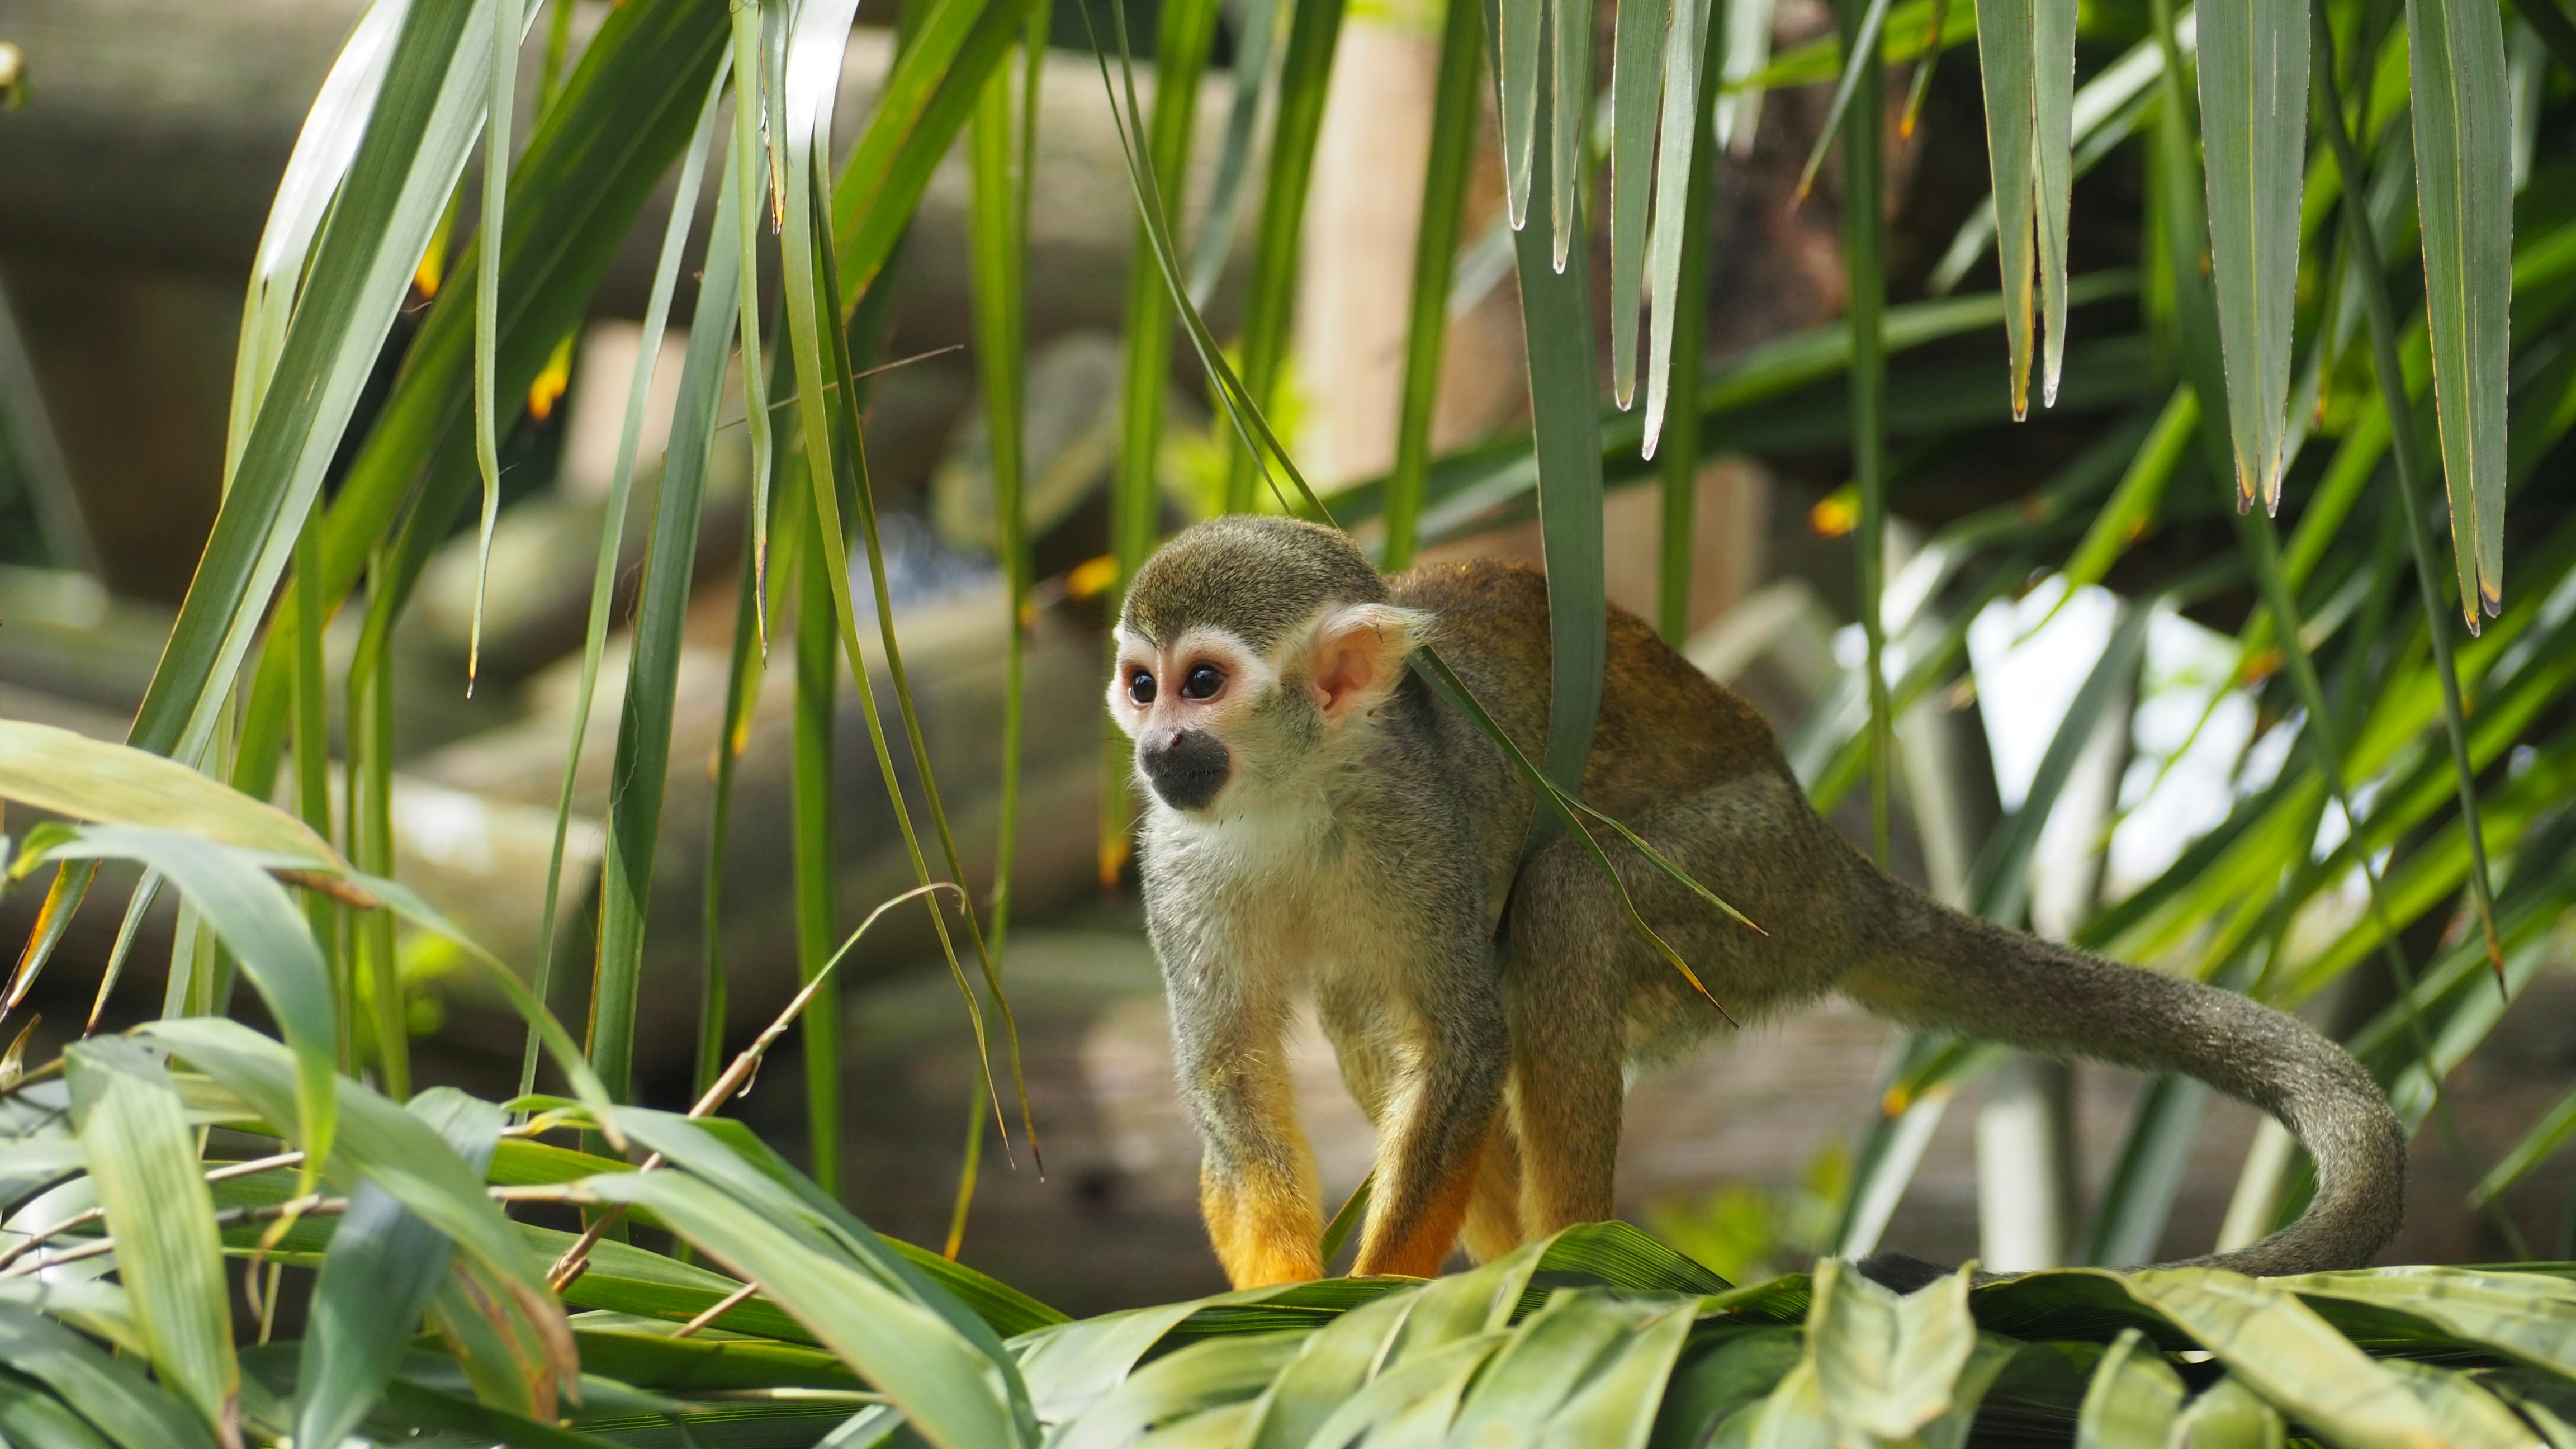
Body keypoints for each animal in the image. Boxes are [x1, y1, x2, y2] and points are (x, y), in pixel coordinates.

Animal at [1107, 514, 2406, 1289]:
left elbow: (1466, 1043)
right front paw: (1276, 1299)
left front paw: (1365, 1298)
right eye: (1139, 683)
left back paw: (1571, 1258)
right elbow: (1231, 1077)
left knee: (1567, 900)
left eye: (1204, 682)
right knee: (1374, 1014)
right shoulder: (1172, 859)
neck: (1289, 792)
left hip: (1750, 892)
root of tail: (1835, 864)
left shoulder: (1420, 821)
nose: (1160, 746)